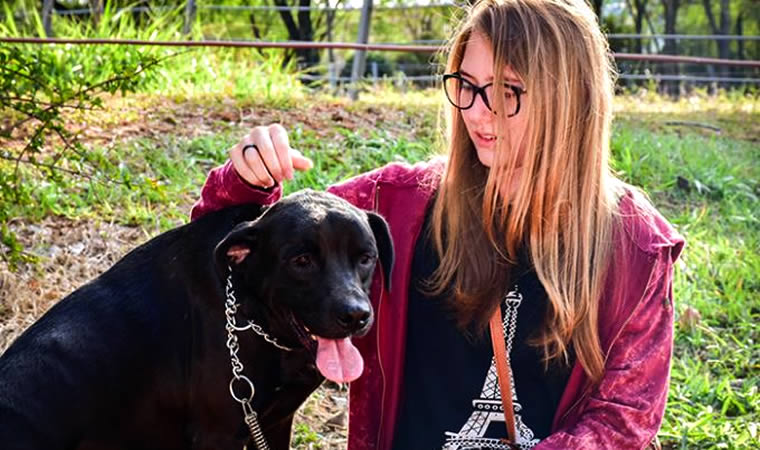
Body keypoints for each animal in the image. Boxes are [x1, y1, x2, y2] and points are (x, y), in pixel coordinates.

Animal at [0, 190, 392, 450]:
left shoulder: (276, 421)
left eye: (366, 258)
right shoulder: (217, 434)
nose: (355, 315)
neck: (251, 313)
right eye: (301, 261)